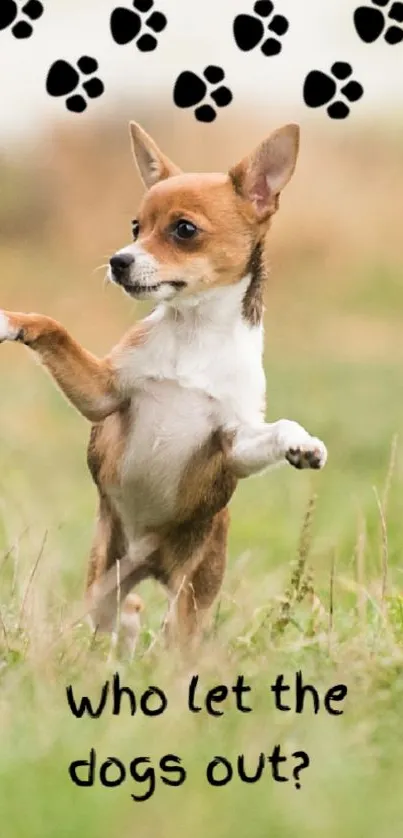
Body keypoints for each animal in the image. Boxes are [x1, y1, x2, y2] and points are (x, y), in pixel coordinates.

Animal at [0, 120, 328, 656]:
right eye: (136, 227)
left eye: (184, 230)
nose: (119, 260)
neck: (194, 333)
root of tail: (147, 563)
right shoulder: (103, 393)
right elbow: (54, 328)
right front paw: (12, 320)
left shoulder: (233, 444)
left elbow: (277, 428)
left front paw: (303, 444)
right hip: (104, 578)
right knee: (121, 613)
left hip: (192, 594)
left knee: (173, 634)